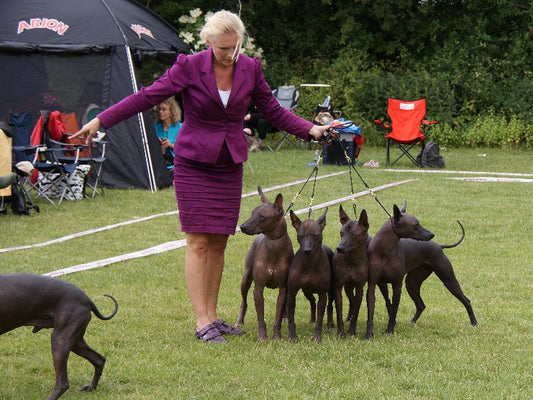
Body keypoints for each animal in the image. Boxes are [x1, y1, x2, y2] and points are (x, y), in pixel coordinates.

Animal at [238, 188, 296, 340]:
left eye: (262, 217)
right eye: (252, 213)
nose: (242, 227)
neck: (274, 247)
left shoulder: (283, 288)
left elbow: (278, 315)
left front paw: (277, 336)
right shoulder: (258, 288)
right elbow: (260, 316)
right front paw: (262, 337)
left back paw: (285, 317)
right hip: (245, 279)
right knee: (243, 302)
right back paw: (239, 322)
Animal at [286, 208, 332, 342]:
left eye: (315, 235)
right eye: (300, 236)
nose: (307, 250)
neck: (309, 263)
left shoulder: (323, 294)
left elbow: (320, 319)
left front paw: (317, 337)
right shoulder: (291, 293)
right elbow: (291, 318)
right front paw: (292, 336)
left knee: (330, 306)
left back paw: (330, 323)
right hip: (306, 291)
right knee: (312, 301)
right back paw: (312, 319)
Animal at [366, 205, 478, 340]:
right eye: (416, 224)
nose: (432, 234)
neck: (384, 251)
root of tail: (439, 246)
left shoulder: (397, 285)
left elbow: (394, 310)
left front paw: (390, 330)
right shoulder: (373, 284)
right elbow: (373, 310)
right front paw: (368, 334)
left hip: (448, 280)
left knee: (466, 301)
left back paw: (474, 322)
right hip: (412, 283)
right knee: (421, 305)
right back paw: (412, 322)